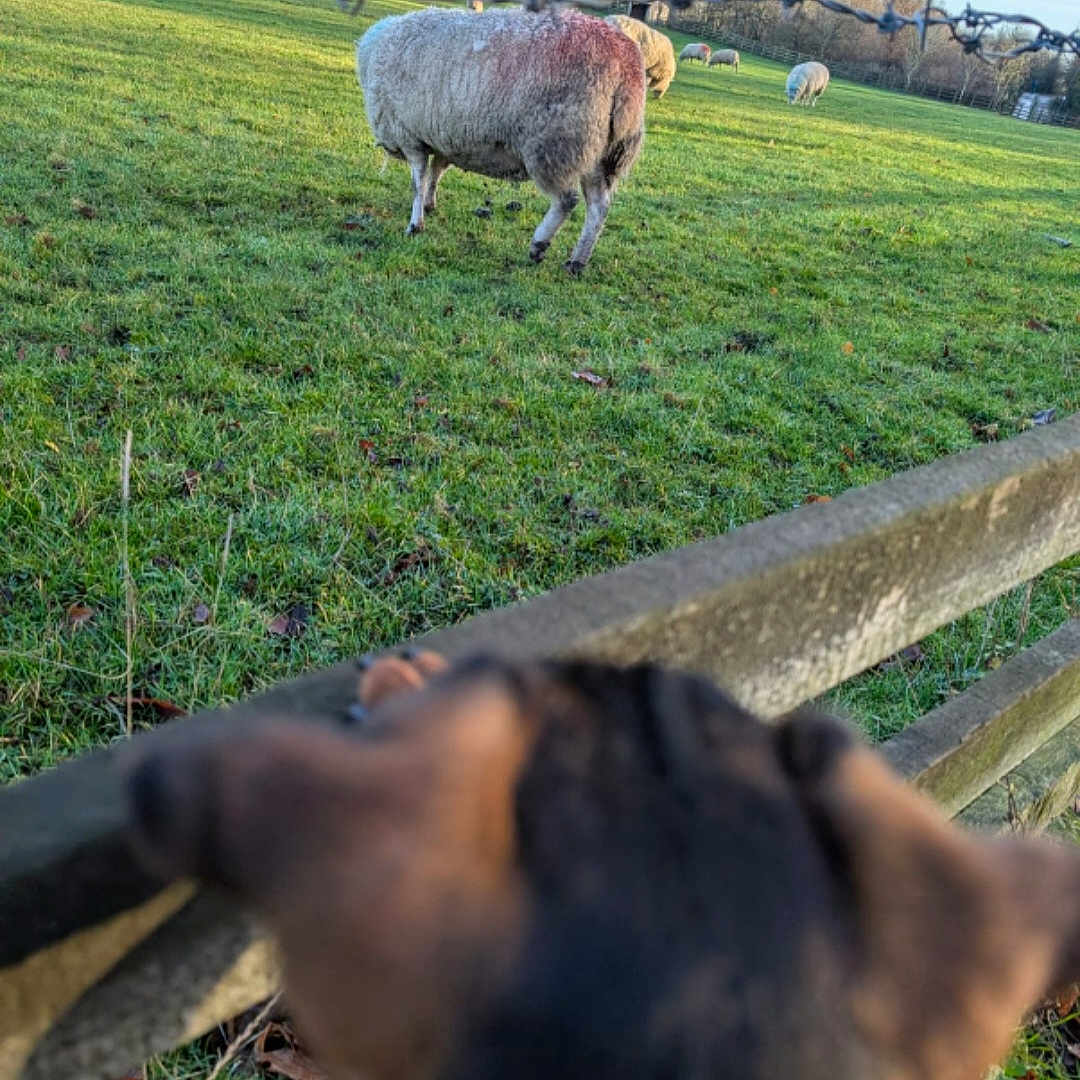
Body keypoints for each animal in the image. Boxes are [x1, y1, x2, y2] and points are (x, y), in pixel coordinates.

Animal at [354, 8, 645, 273]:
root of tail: (625, 64)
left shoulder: (409, 136)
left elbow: (418, 181)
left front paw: (415, 224)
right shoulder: (442, 138)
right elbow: (436, 173)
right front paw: (430, 204)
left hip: (556, 143)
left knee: (566, 200)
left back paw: (539, 245)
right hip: (599, 151)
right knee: (598, 207)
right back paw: (577, 261)